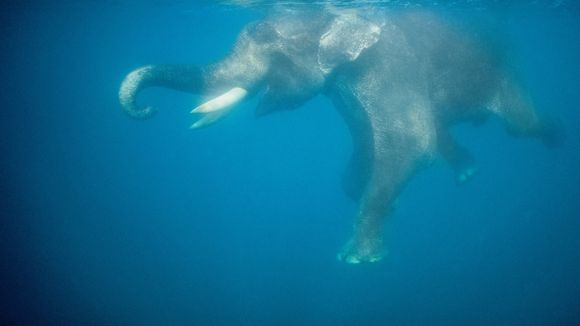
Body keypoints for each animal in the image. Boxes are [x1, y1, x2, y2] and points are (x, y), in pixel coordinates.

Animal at [119, 6, 560, 264]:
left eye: (267, 41)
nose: (149, 109)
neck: (334, 19)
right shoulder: (344, 88)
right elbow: (369, 147)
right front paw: (384, 207)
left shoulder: (388, 66)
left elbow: (411, 145)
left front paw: (357, 259)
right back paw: (468, 172)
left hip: (508, 80)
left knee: (520, 125)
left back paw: (556, 137)